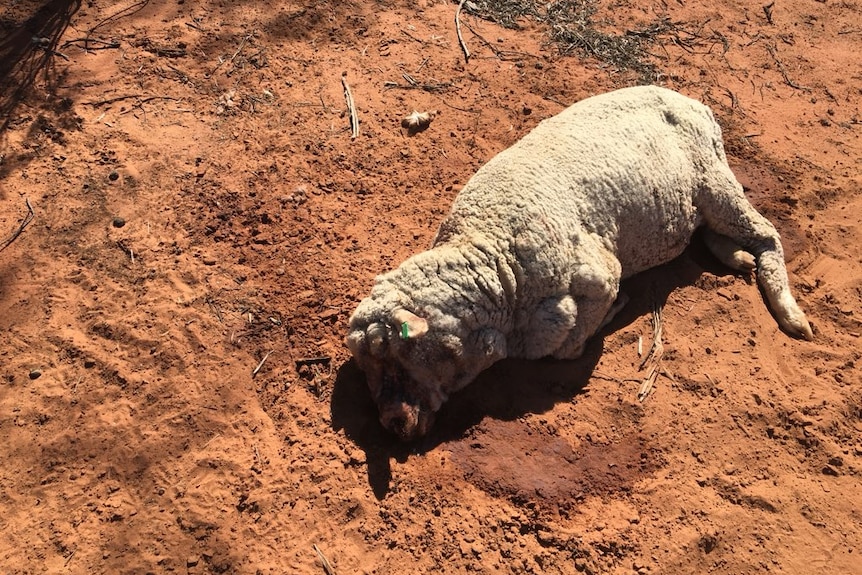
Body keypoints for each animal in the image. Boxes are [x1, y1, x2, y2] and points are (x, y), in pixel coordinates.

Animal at [346, 85, 813, 441]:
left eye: (398, 357)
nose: (393, 425)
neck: (491, 248)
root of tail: (696, 103)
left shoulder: (599, 276)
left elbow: (567, 348)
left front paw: (617, 310)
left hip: (713, 178)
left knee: (768, 234)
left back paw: (791, 315)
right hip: (700, 195)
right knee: (716, 232)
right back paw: (738, 258)